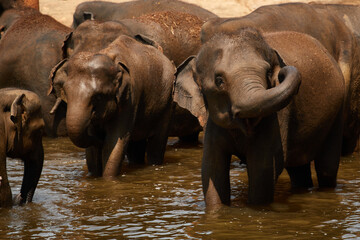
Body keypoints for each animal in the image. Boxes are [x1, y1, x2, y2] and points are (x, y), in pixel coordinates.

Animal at [49, 35, 176, 178]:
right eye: (66, 94)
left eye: (98, 96)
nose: (99, 139)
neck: (111, 59)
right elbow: (92, 147)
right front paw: (93, 176)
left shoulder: (130, 98)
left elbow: (114, 142)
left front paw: (107, 179)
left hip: (167, 101)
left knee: (156, 143)